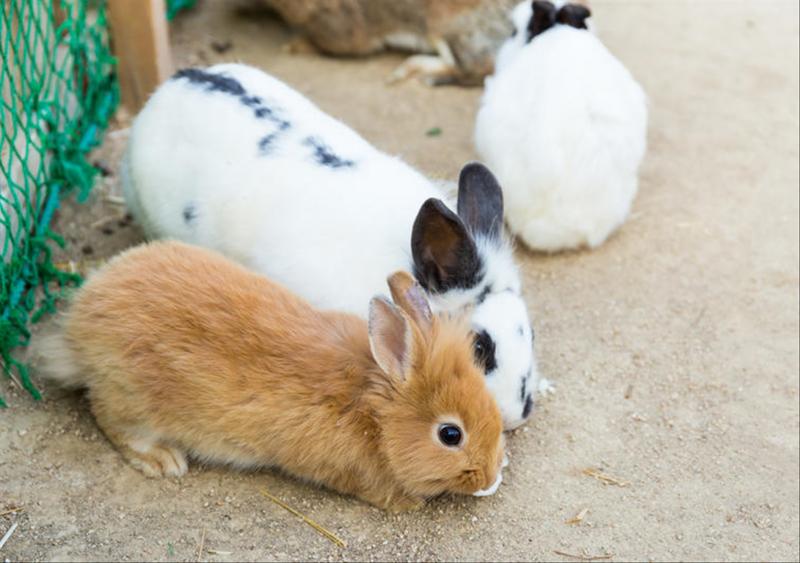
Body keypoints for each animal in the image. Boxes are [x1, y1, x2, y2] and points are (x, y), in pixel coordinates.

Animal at [37, 242, 504, 512]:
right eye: (450, 435)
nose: (488, 475)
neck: (374, 409)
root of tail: (79, 327)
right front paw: (412, 504)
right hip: (133, 400)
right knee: (111, 420)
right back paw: (163, 460)